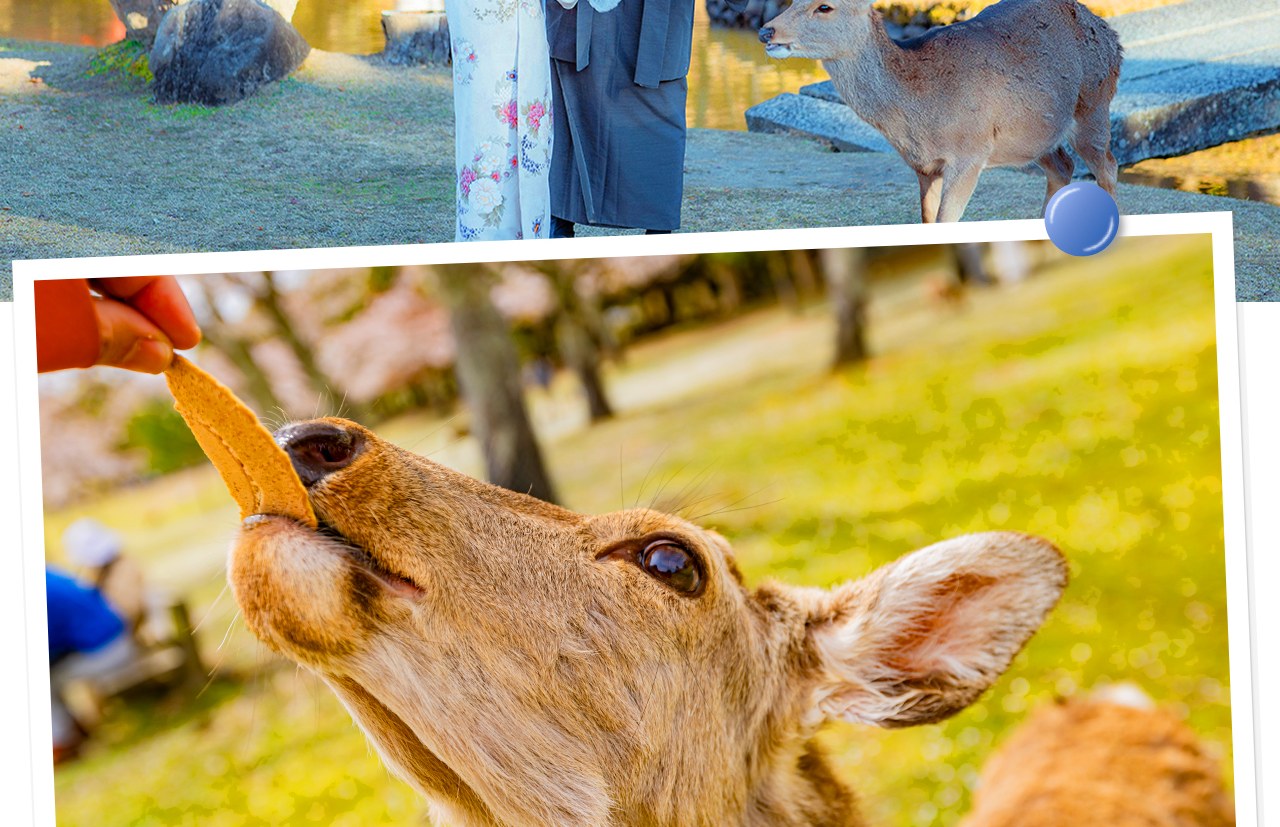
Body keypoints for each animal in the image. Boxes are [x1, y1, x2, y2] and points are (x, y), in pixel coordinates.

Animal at [758, 0, 1123, 223]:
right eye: (792, 1)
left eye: (825, 7)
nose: (765, 30)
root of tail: (1112, 36)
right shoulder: (923, 166)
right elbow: (927, 220)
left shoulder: (971, 153)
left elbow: (947, 219)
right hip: (1033, 136)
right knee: (1063, 166)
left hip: (1094, 105)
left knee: (1107, 166)